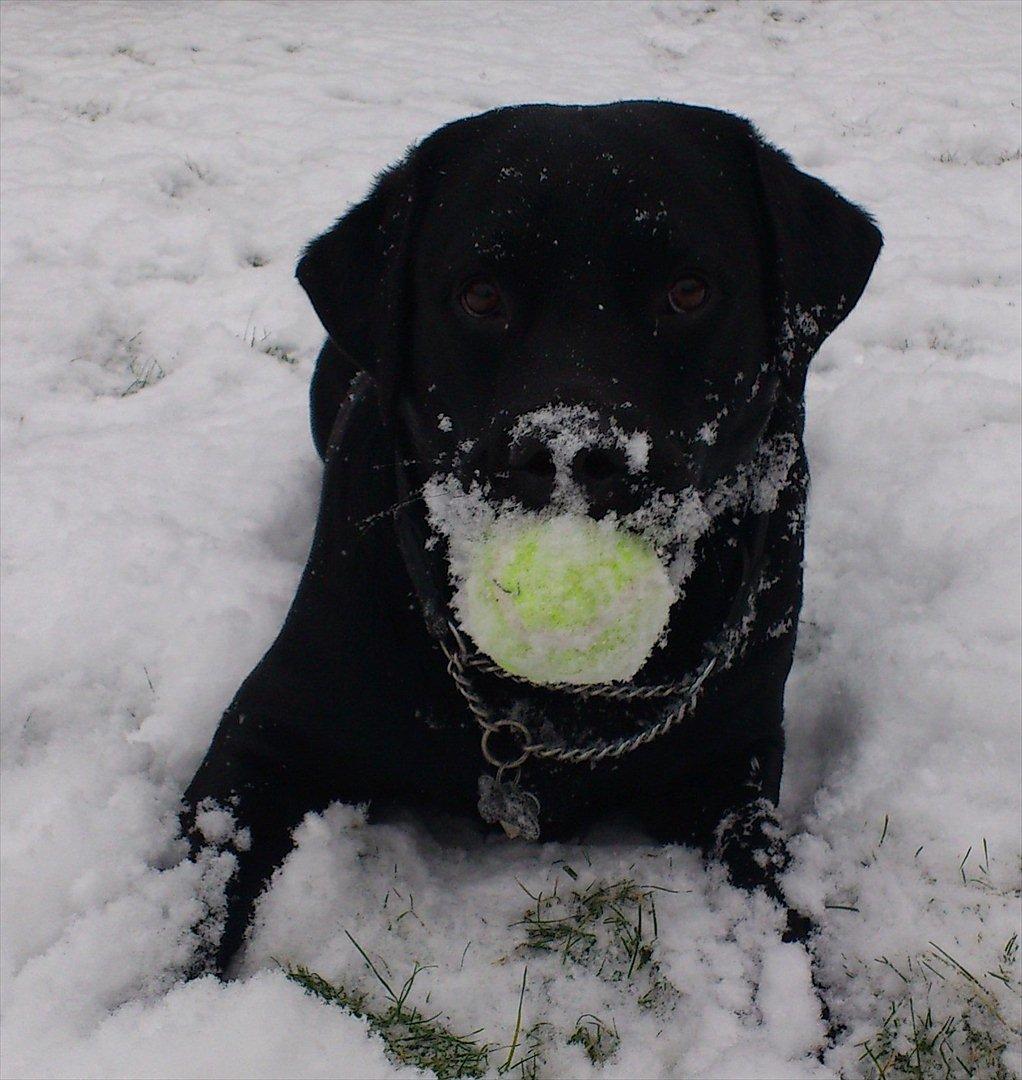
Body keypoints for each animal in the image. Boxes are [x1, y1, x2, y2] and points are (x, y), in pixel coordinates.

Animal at [181, 103, 877, 980]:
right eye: (480, 295)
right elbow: (200, 901)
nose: (574, 454)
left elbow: (780, 915)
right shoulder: (269, 731)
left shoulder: (731, 765)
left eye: (688, 291)